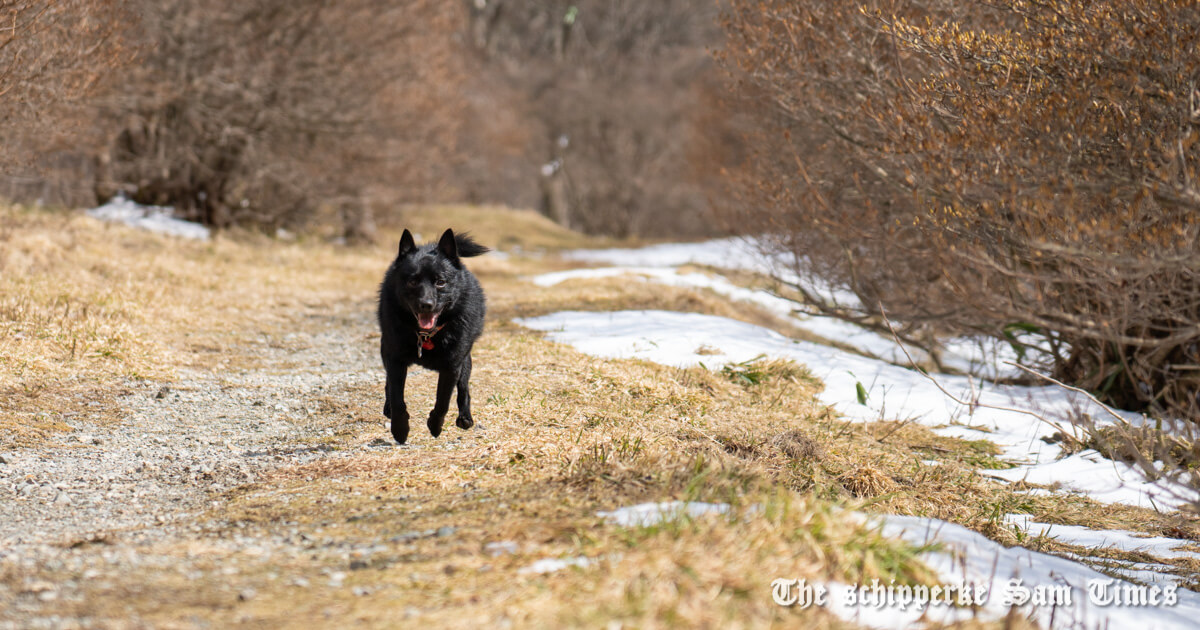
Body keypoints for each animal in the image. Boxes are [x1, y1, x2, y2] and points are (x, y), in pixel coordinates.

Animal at [374, 229, 487, 441]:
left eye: (441, 282)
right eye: (412, 281)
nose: (426, 304)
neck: (427, 336)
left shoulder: (452, 367)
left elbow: (443, 401)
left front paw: (435, 425)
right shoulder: (394, 359)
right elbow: (397, 397)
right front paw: (400, 429)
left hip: (465, 361)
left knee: (464, 389)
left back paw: (465, 418)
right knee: (388, 385)